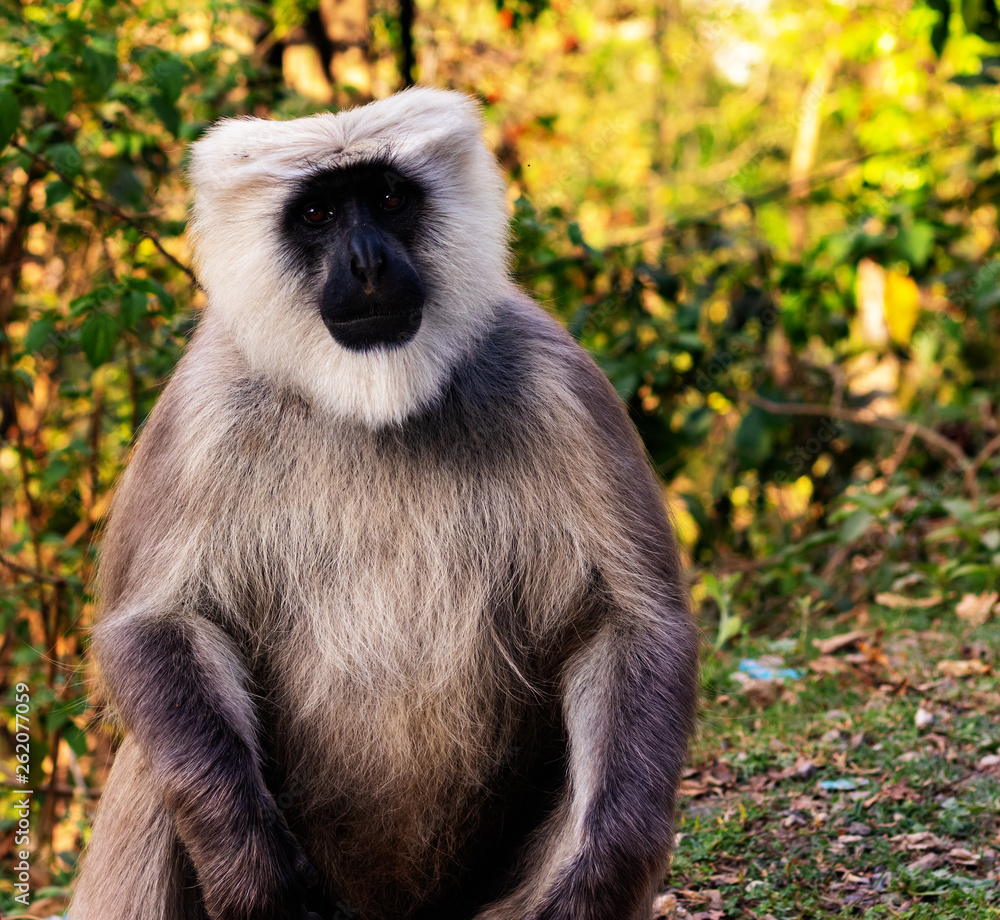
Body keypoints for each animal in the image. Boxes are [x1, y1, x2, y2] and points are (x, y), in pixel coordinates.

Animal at [69, 87, 698, 920]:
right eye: (318, 214)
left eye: (390, 198)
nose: (367, 262)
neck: (371, 403)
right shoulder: (203, 408)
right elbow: (152, 626)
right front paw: (253, 873)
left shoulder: (554, 380)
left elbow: (632, 624)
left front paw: (593, 884)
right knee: (154, 761)